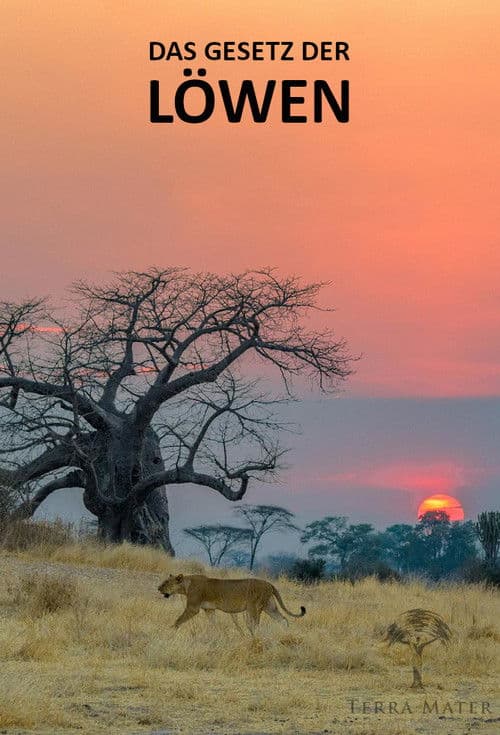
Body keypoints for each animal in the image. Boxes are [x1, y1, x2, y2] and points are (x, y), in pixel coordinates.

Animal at [158, 573, 306, 634]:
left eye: (166, 582)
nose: (158, 588)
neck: (186, 585)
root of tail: (269, 584)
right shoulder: (209, 609)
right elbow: (213, 623)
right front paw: (215, 634)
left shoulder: (193, 608)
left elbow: (178, 620)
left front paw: (170, 631)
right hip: (270, 607)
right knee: (283, 620)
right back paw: (284, 634)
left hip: (253, 607)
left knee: (254, 625)